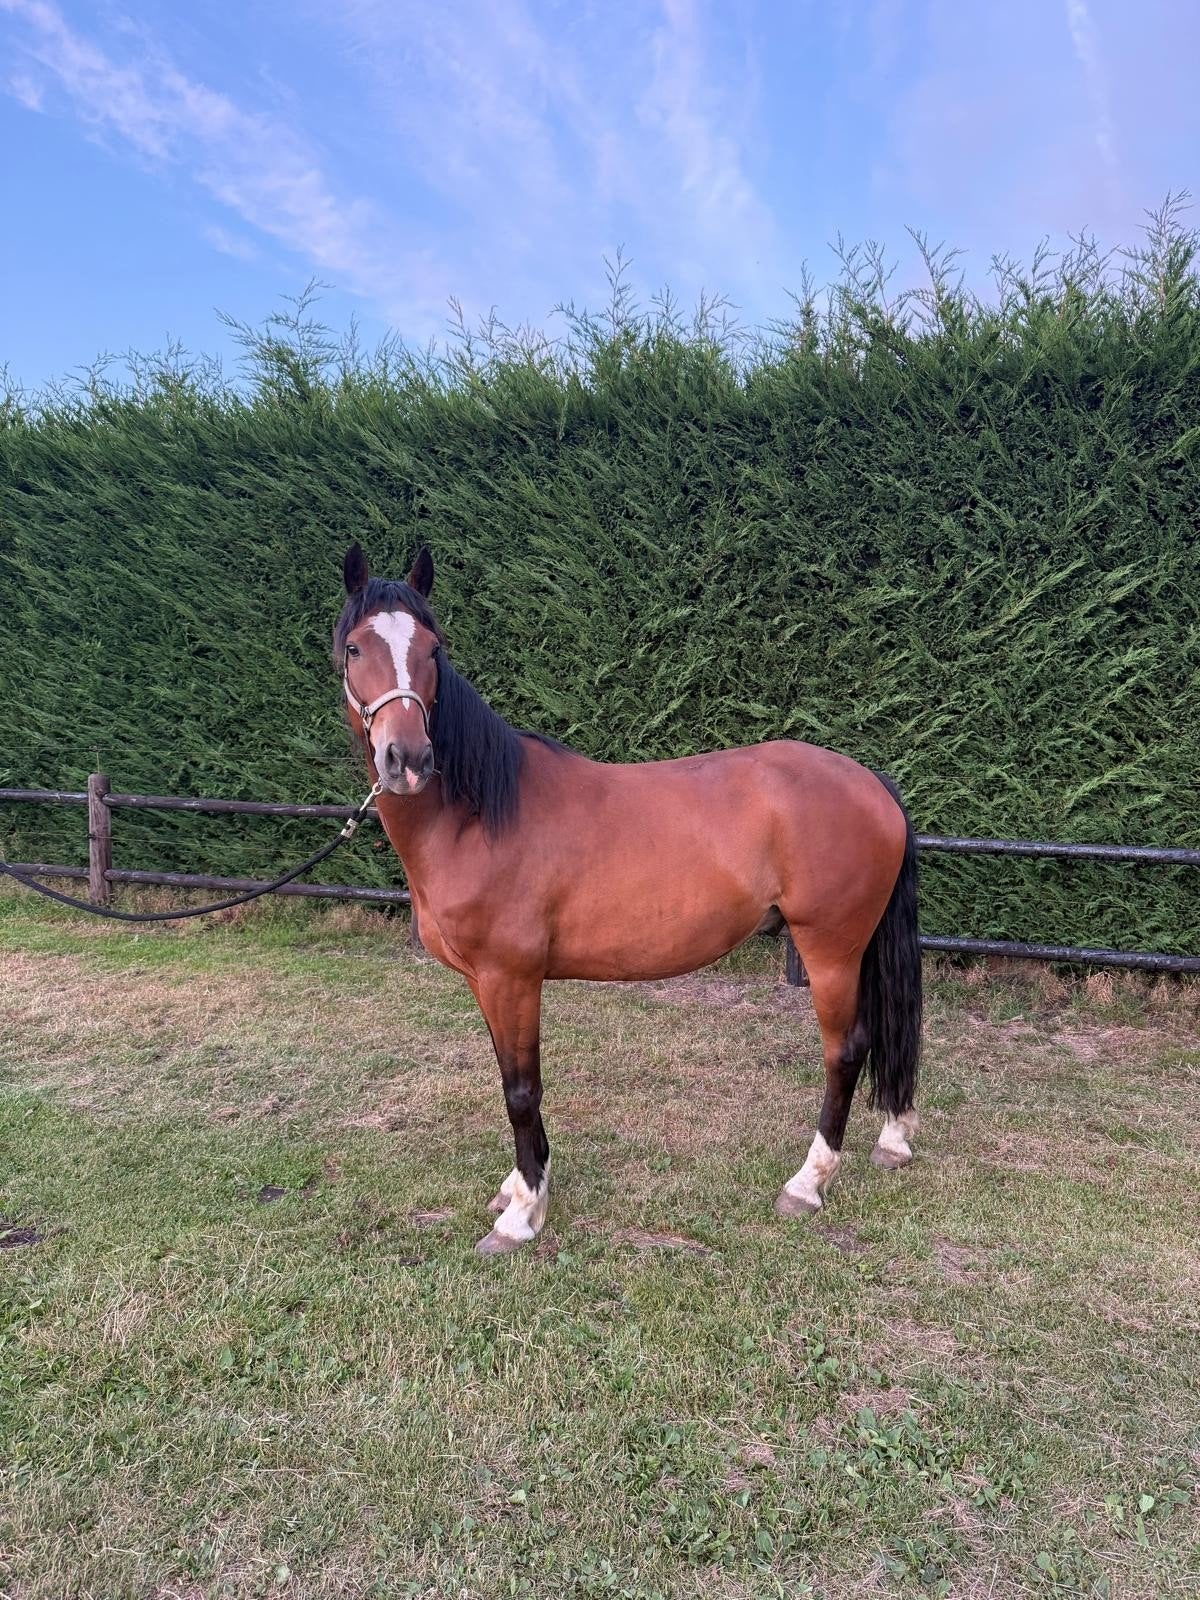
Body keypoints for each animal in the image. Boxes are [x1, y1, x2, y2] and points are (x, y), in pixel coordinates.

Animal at [335, 544, 922, 1254]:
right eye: (356, 648)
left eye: (431, 647)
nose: (408, 758)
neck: (478, 813)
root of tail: (871, 782)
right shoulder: (485, 983)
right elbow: (510, 1077)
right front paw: (522, 1182)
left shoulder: (510, 977)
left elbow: (521, 1088)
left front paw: (522, 1214)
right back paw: (892, 1139)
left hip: (830, 948)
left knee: (847, 1049)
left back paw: (807, 1182)